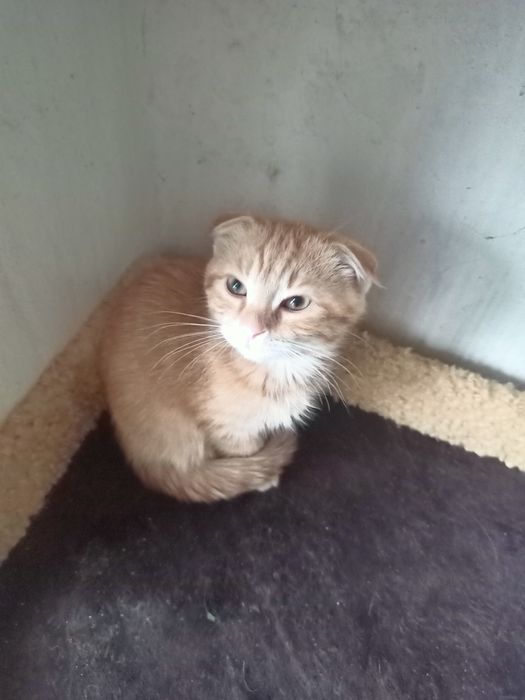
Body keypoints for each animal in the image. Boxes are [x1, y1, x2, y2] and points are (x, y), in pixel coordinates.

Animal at [101, 215, 377, 502]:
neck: (275, 371)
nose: (250, 329)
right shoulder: (227, 428)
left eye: (296, 303)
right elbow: (246, 450)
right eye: (236, 287)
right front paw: (262, 475)